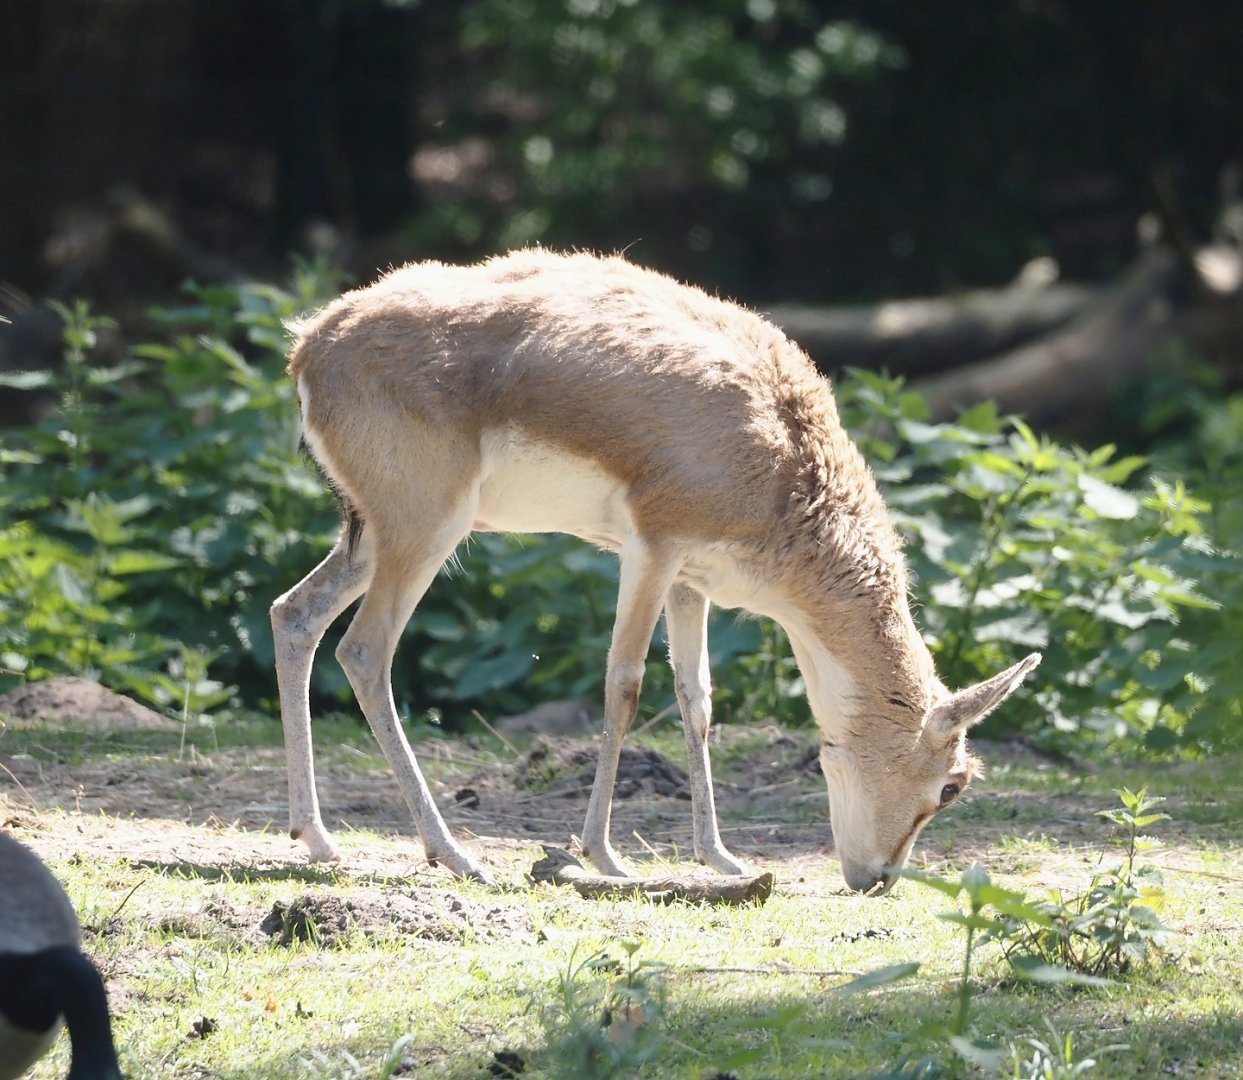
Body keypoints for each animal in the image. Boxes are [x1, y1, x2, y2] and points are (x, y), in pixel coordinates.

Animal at [271, 249, 1040, 894]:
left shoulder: (691, 579)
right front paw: (603, 856)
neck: (781, 456)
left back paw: (318, 838)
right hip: (425, 532)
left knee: (294, 614)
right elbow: (624, 684)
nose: (878, 878)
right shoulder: (650, 547)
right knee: (364, 650)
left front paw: (720, 858)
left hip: (375, 537)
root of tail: (312, 343)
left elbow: (696, 699)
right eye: (952, 785)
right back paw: (455, 854)